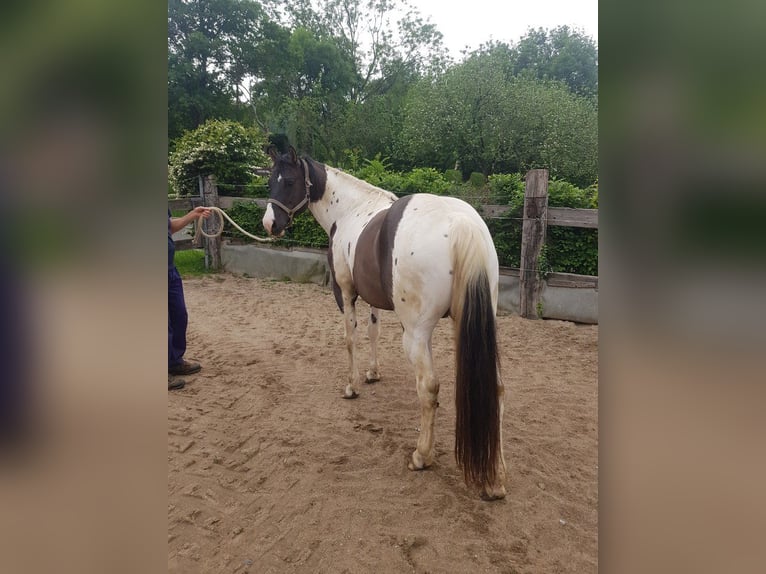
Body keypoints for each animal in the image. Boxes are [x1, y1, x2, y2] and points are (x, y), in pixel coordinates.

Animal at [262, 146, 507, 500]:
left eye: (290, 181)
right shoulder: (372, 299)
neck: (349, 210)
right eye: (270, 181)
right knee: (496, 388)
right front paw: (373, 373)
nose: (270, 223)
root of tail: (461, 224)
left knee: (428, 387)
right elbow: (373, 331)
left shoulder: (345, 293)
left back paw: (421, 456)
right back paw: (496, 478)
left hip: (416, 335)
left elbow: (350, 338)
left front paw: (351, 387)